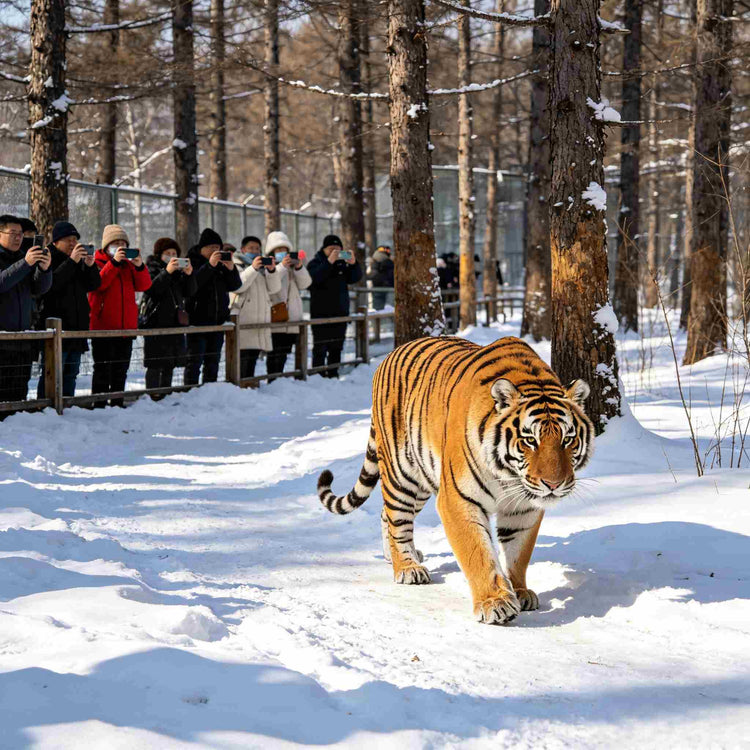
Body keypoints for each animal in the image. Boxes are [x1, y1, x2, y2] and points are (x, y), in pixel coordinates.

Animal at [316, 335, 594, 625]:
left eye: (567, 439)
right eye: (530, 440)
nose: (553, 484)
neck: (509, 476)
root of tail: (388, 356)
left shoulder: (524, 507)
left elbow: (519, 552)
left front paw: (520, 591)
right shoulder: (458, 499)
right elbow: (478, 553)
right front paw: (495, 602)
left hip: (422, 481)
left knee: (386, 514)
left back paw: (395, 556)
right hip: (401, 473)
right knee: (398, 519)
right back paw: (407, 567)